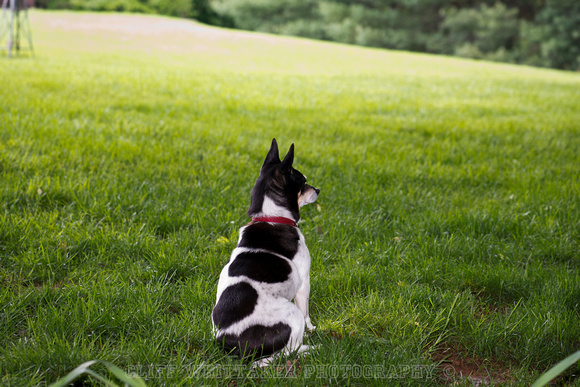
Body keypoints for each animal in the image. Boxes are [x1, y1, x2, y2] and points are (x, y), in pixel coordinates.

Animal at [213, 139, 320, 366]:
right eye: (303, 183)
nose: (317, 189)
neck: (271, 217)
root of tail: (233, 346)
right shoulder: (304, 282)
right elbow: (307, 313)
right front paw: (312, 330)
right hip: (292, 315)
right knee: (290, 349)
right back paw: (310, 349)